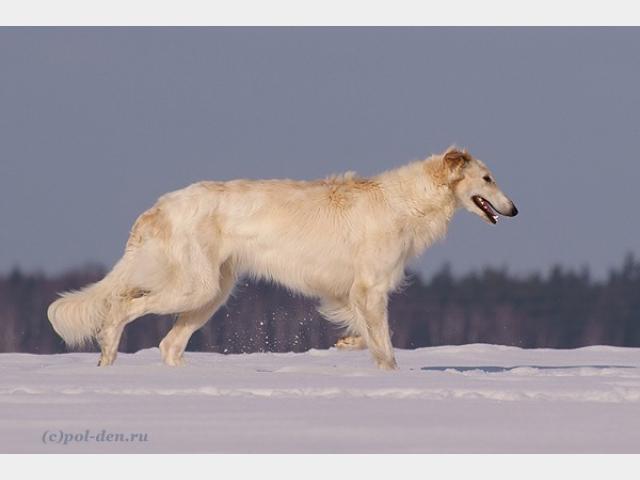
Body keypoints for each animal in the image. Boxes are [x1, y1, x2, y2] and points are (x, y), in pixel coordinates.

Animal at [48, 148, 520, 370]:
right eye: (487, 178)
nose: (515, 209)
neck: (404, 201)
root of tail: (159, 206)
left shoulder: (354, 291)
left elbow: (368, 335)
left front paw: (349, 344)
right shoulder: (371, 287)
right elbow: (386, 347)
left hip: (212, 294)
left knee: (167, 343)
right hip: (193, 288)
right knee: (121, 308)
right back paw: (108, 357)